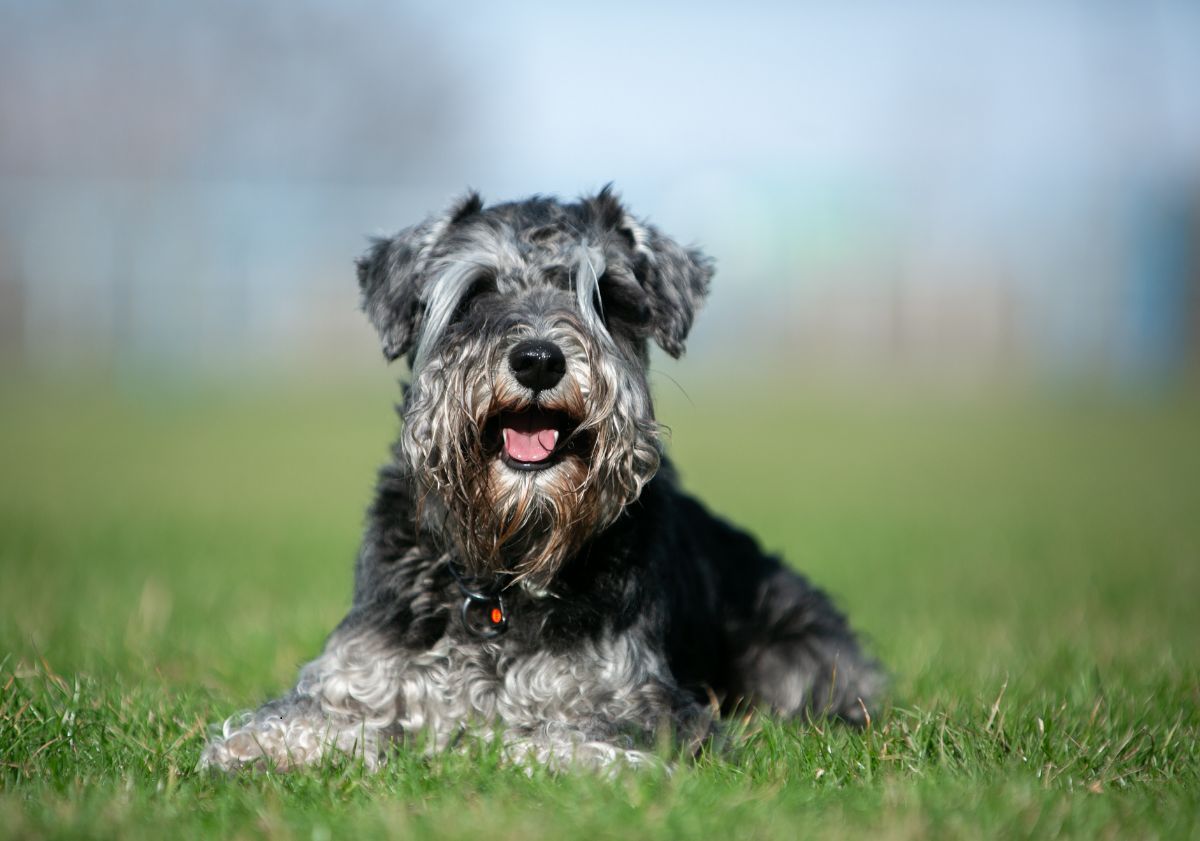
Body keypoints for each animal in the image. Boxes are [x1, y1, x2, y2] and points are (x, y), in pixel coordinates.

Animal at [199, 187, 883, 772]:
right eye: (475, 292)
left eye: (605, 295)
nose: (537, 360)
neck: (500, 574)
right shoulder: (357, 674)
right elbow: (307, 717)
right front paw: (251, 750)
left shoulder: (641, 704)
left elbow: (556, 738)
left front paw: (518, 750)